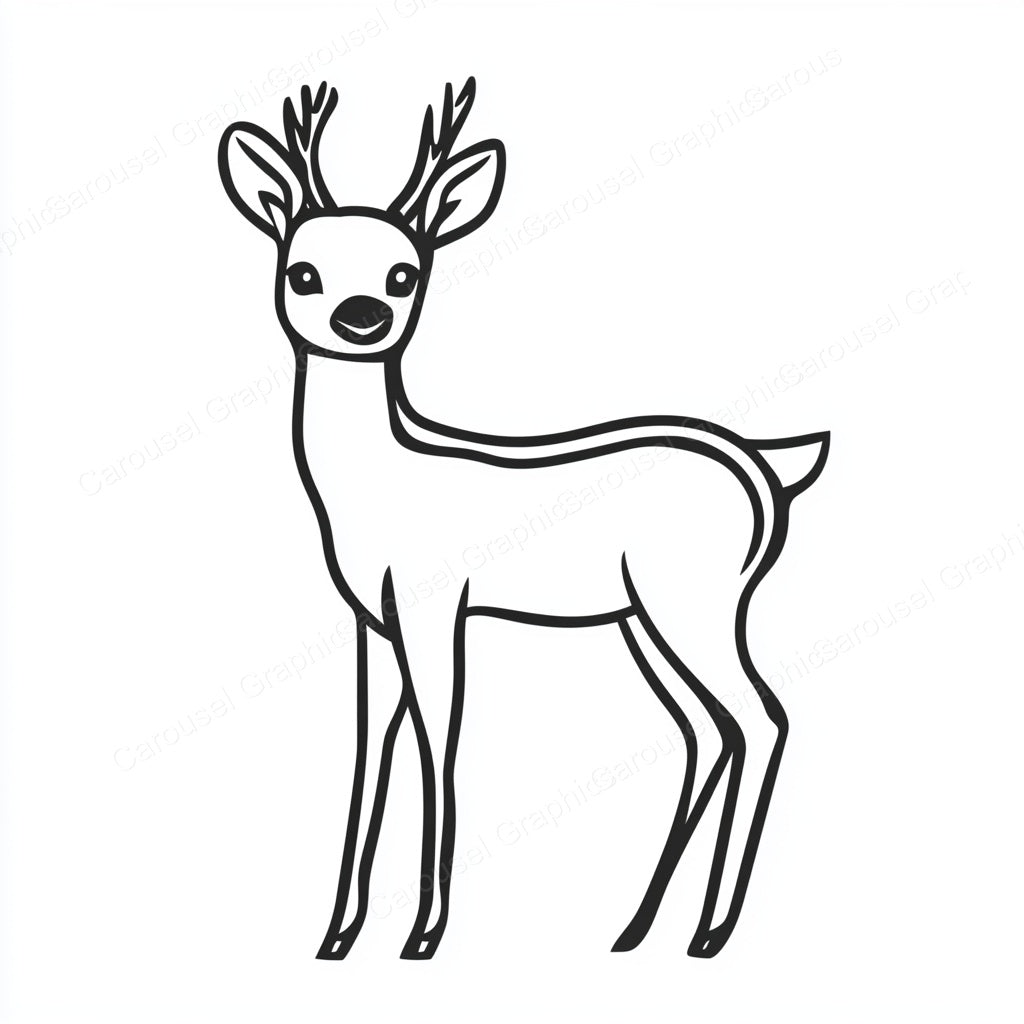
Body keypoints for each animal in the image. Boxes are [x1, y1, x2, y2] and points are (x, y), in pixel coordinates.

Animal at [217, 79, 829, 961]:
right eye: (302, 271)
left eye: (404, 273)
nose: (361, 316)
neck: (378, 481)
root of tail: (768, 472)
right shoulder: (373, 621)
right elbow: (369, 755)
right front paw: (336, 937)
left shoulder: (437, 606)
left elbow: (441, 745)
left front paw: (423, 937)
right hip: (642, 619)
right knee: (708, 730)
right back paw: (636, 929)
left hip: (693, 602)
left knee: (761, 717)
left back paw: (709, 933)